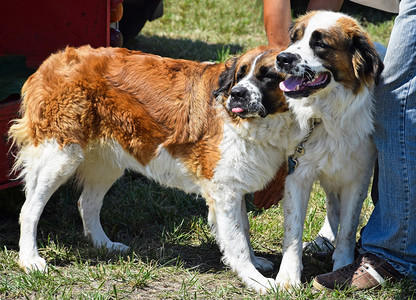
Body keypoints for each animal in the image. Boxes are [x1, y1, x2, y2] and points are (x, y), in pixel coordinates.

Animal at [8, 45, 290, 292]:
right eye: (240, 75)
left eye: (269, 76)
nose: (237, 94)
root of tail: (52, 60)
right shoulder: (224, 191)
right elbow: (237, 240)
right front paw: (257, 280)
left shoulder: (234, 185)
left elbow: (244, 229)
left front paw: (256, 263)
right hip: (59, 156)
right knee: (29, 209)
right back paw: (30, 259)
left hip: (106, 161)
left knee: (87, 203)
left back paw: (104, 244)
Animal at [274, 11, 382, 288]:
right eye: (295, 38)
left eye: (320, 44)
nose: (282, 58)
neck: (325, 115)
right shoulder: (297, 173)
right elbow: (293, 229)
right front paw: (288, 276)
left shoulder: (357, 176)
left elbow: (348, 226)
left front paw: (343, 265)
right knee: (333, 205)